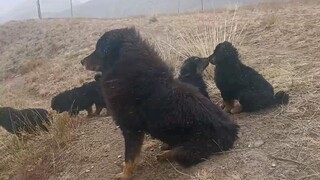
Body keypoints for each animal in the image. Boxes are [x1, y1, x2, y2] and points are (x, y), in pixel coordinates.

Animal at [81, 27, 239, 180]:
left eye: (99, 49)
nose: (82, 61)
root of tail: (232, 131)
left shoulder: (131, 129)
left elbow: (130, 157)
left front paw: (125, 174)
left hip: (191, 148)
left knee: (177, 153)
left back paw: (164, 155)